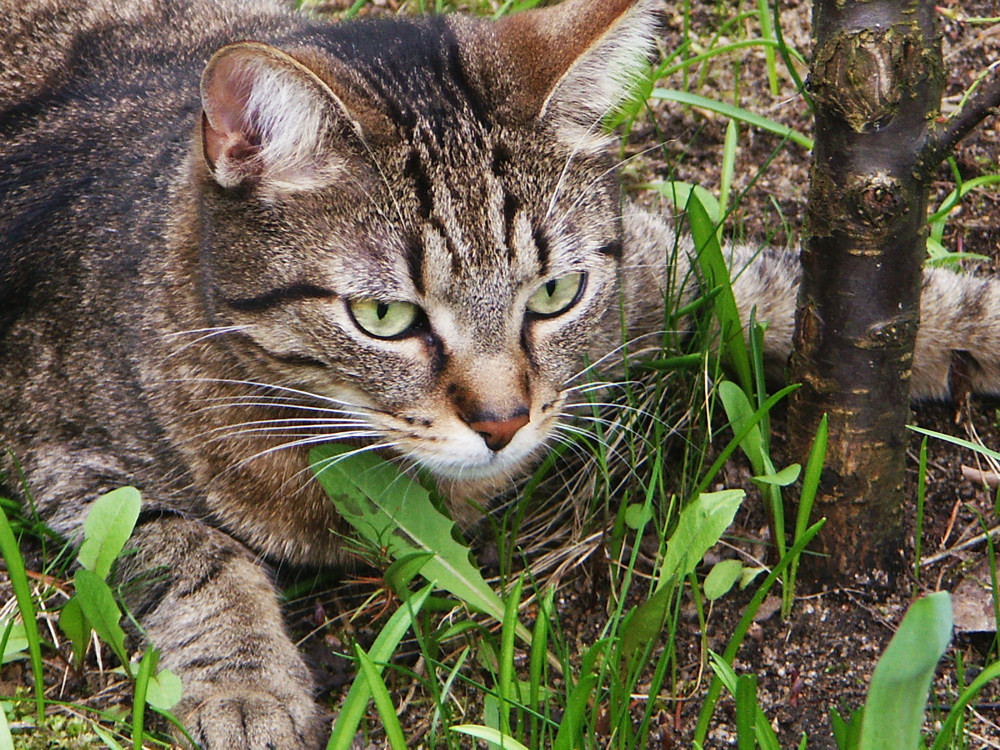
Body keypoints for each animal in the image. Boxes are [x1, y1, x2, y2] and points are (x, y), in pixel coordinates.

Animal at [1, 0, 1000, 748]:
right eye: (385, 318)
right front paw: (249, 685)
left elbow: (774, 285)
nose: (503, 421)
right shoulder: (53, 446)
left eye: (554, 294)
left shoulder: (650, 273)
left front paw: (972, 321)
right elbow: (190, 550)